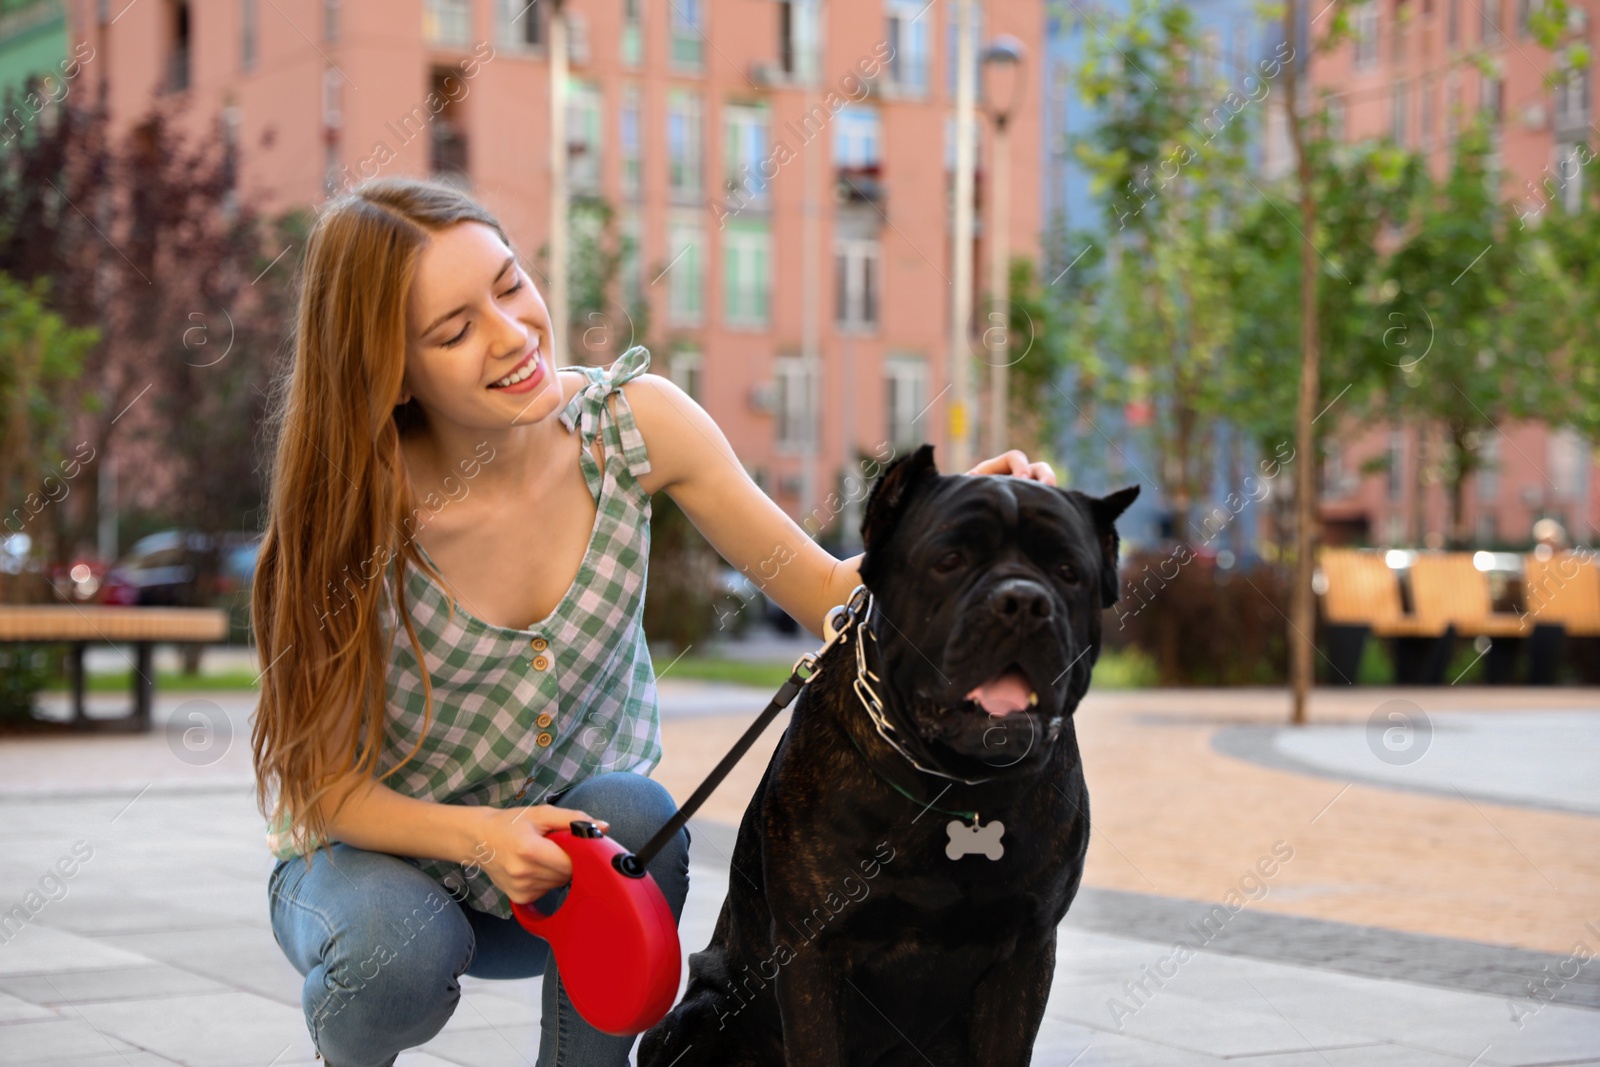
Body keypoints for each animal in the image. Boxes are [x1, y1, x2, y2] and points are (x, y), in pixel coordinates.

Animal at [636, 444, 1139, 1067]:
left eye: (1068, 572)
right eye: (949, 559)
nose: (1023, 601)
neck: (954, 782)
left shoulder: (1026, 951)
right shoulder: (810, 952)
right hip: (697, 1018)